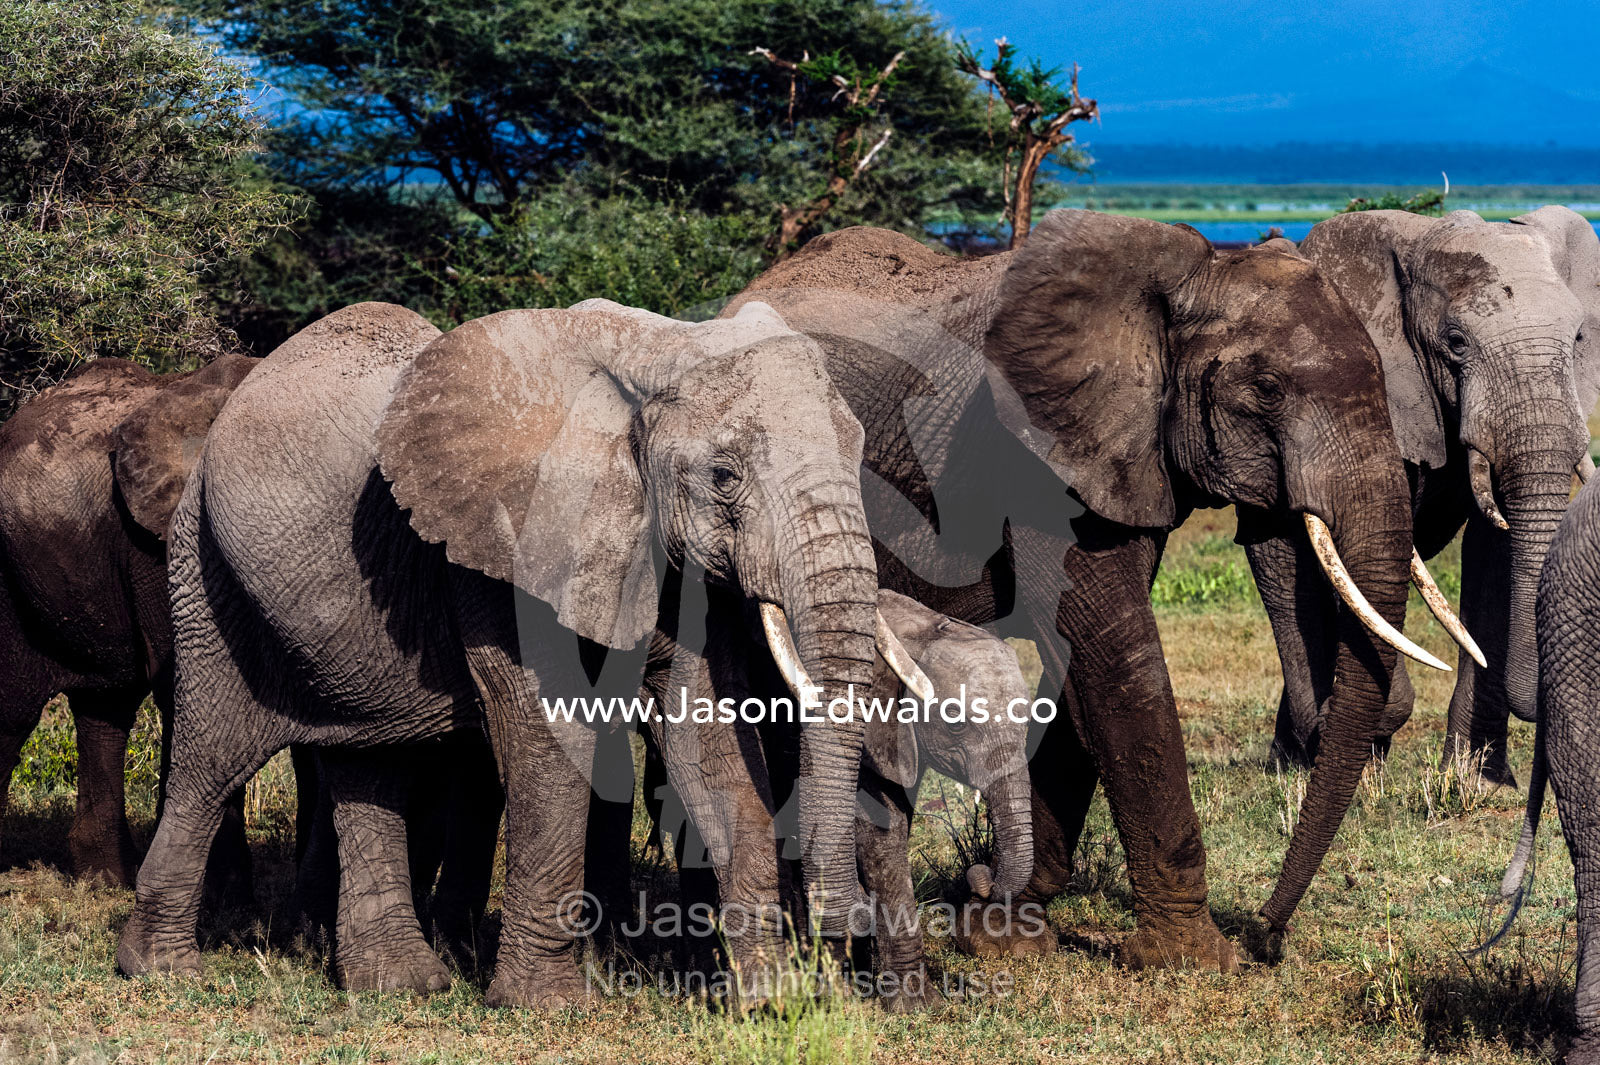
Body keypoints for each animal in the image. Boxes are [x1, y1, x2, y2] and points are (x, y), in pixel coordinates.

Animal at [115, 299, 912, 1007]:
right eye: (725, 476)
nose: (842, 936)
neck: (654, 352)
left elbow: (709, 741)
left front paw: (774, 1002)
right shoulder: (507, 545)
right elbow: (553, 736)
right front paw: (548, 1005)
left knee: (368, 765)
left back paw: (400, 986)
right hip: (205, 570)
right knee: (211, 761)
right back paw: (161, 972)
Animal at [720, 208, 1477, 966]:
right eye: (1266, 389)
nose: (1267, 930)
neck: (1188, 279)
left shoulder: (1120, 458)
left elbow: (1081, 674)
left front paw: (999, 928)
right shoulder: (1034, 455)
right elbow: (1115, 654)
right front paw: (1194, 959)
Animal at [1253, 207, 1600, 781]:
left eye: (1577, 338)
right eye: (1456, 342)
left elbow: (1492, 552)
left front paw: (1478, 779)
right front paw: (1376, 731)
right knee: (1281, 560)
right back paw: (1308, 757)